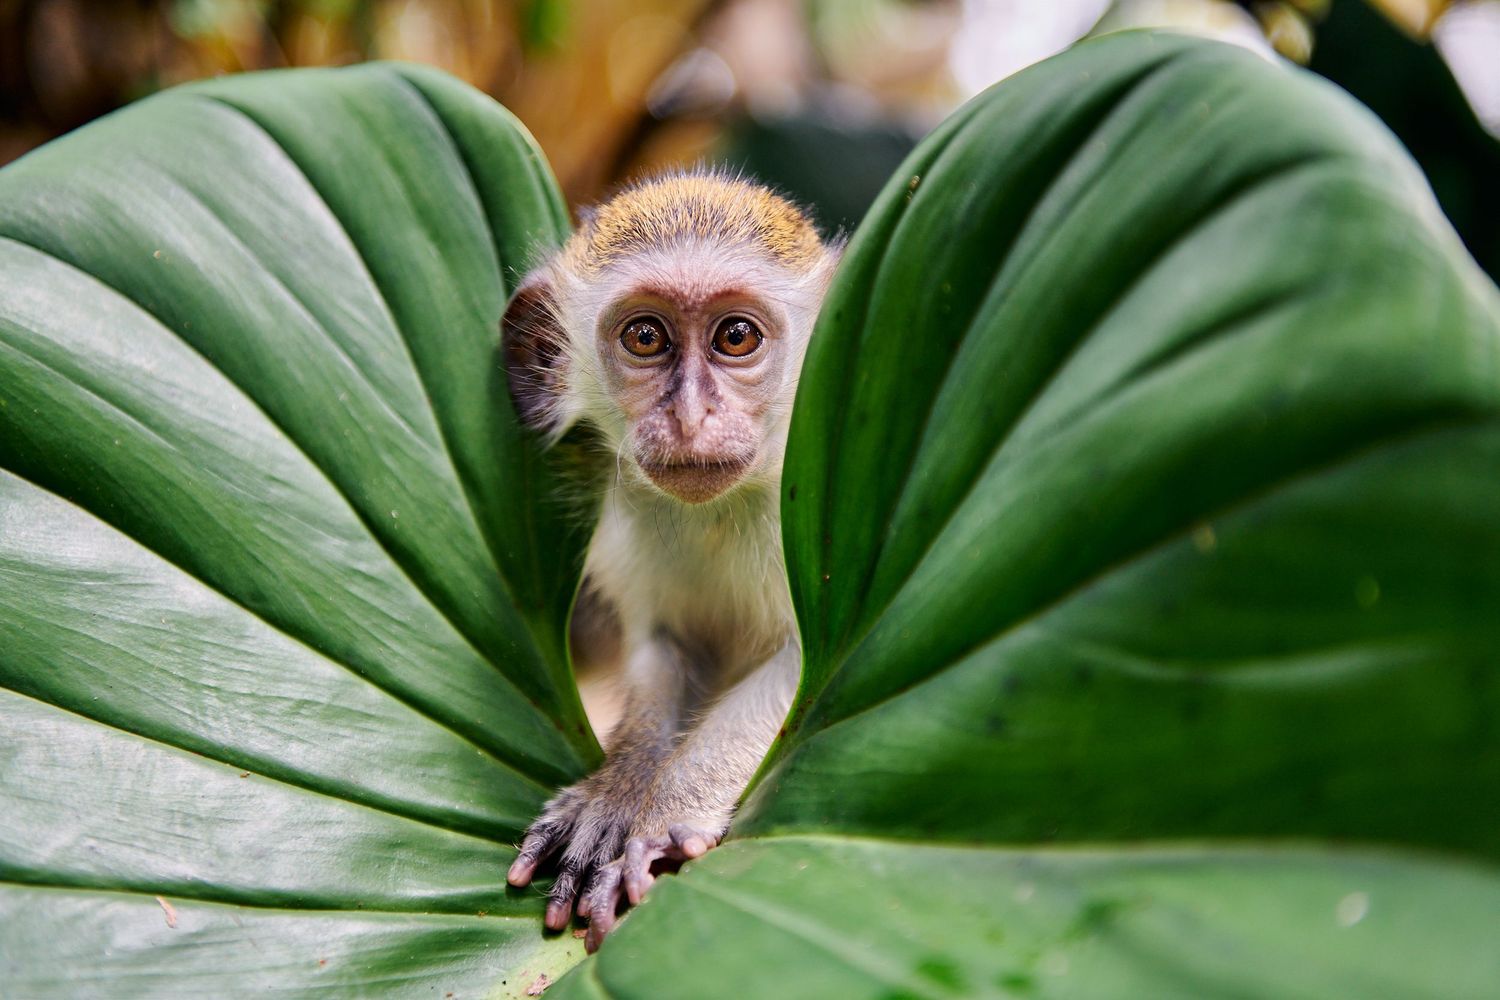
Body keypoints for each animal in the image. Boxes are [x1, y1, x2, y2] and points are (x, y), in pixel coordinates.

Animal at [500, 169, 840, 952]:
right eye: (646, 337)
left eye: (736, 337)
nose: (689, 418)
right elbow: (666, 648)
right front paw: (617, 792)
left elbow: (807, 665)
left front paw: (663, 814)